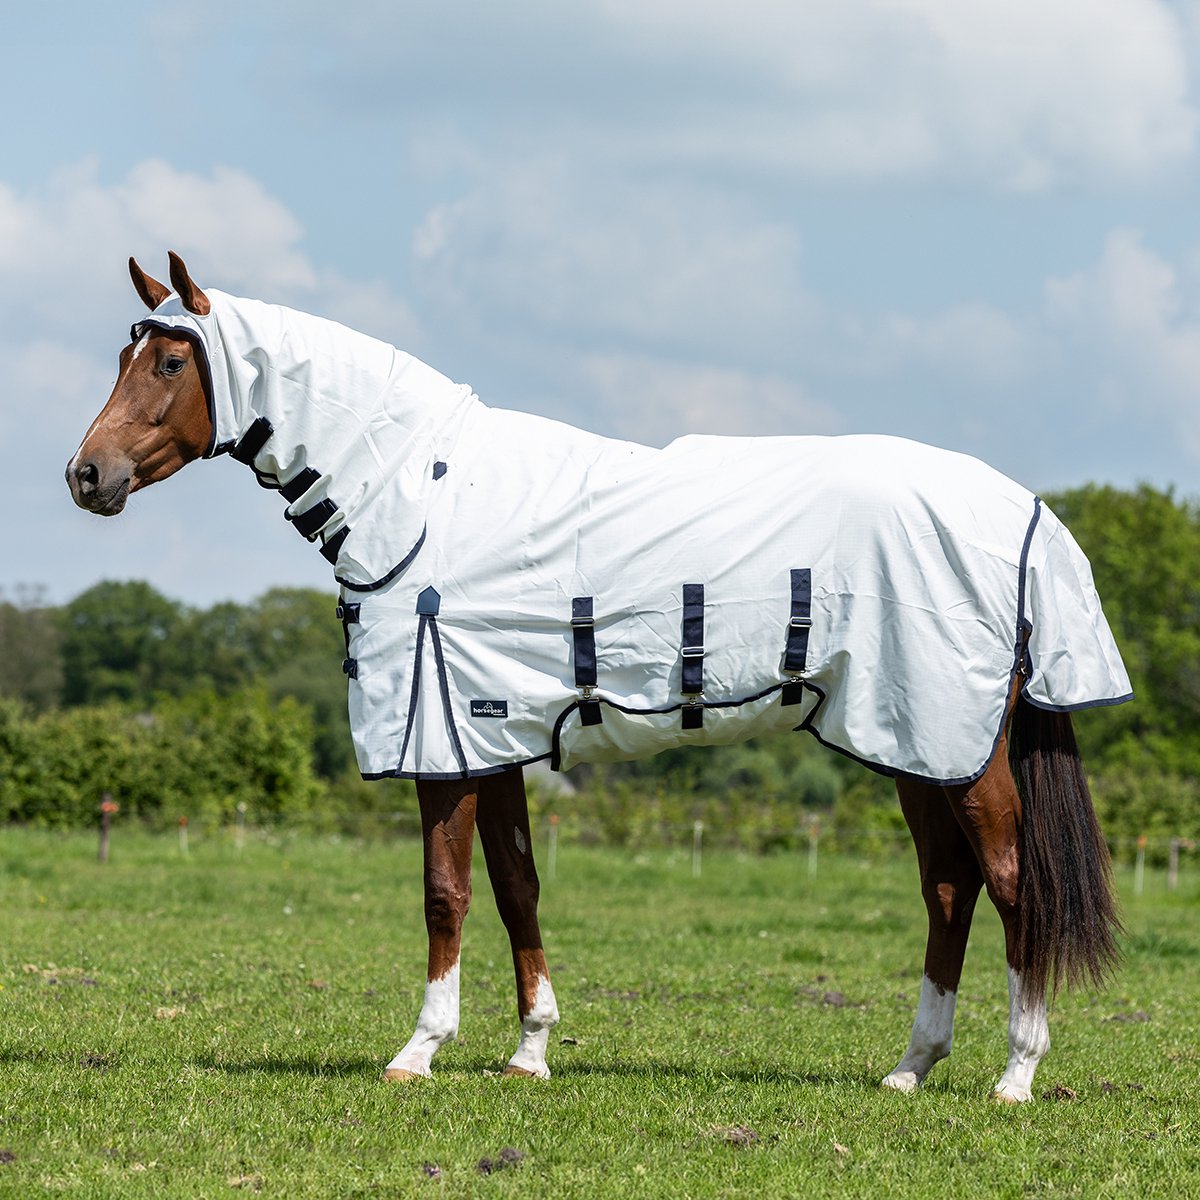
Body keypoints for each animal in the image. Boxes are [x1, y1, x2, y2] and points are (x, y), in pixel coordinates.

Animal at [66, 252, 1129, 1101]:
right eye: (125, 356)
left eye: (170, 362)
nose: (87, 476)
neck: (426, 495)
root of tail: (1025, 514)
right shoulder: (491, 739)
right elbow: (516, 887)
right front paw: (530, 1052)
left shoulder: (443, 744)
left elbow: (445, 894)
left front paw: (418, 1052)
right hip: (912, 742)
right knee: (949, 889)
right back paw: (911, 1067)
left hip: (961, 748)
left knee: (1011, 883)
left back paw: (1016, 1075)